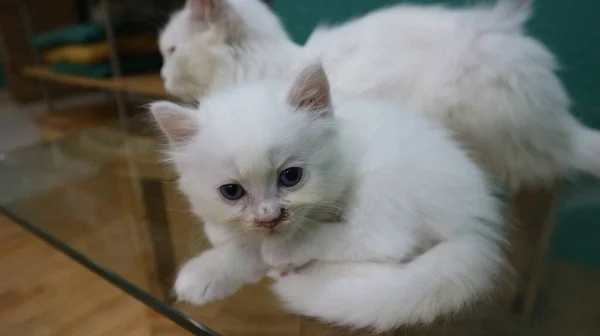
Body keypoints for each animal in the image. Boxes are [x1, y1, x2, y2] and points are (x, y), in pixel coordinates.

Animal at [151, 64, 506, 332]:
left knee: (385, 243)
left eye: (291, 176)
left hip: (385, 173)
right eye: (232, 192)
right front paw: (206, 274)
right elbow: (243, 248)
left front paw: (279, 253)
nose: (269, 217)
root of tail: (479, 221)